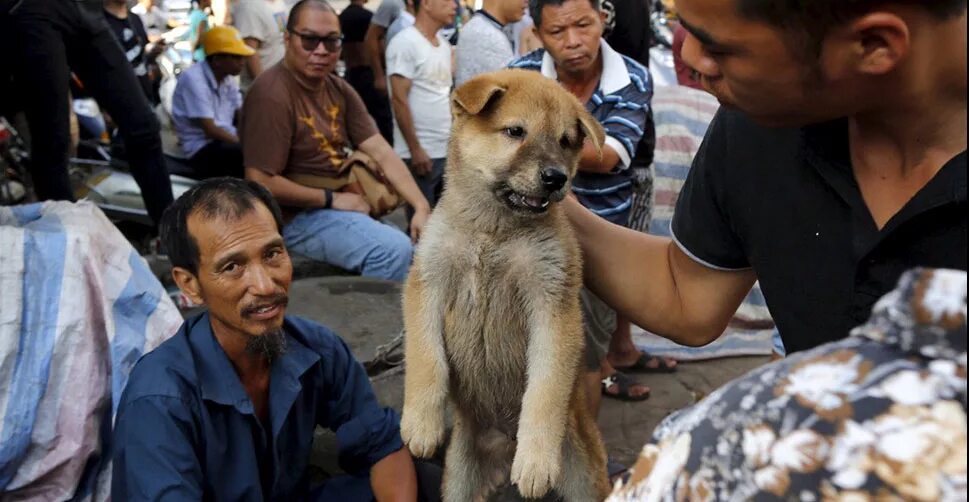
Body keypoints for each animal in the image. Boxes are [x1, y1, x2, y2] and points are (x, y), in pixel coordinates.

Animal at [398, 68, 604, 500]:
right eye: (515, 131)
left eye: (565, 141)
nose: (556, 177)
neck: (493, 232)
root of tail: (502, 446)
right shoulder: (426, 282)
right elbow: (426, 357)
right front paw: (422, 422)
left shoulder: (553, 303)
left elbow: (544, 389)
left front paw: (536, 459)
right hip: (459, 480)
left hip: (584, 480)